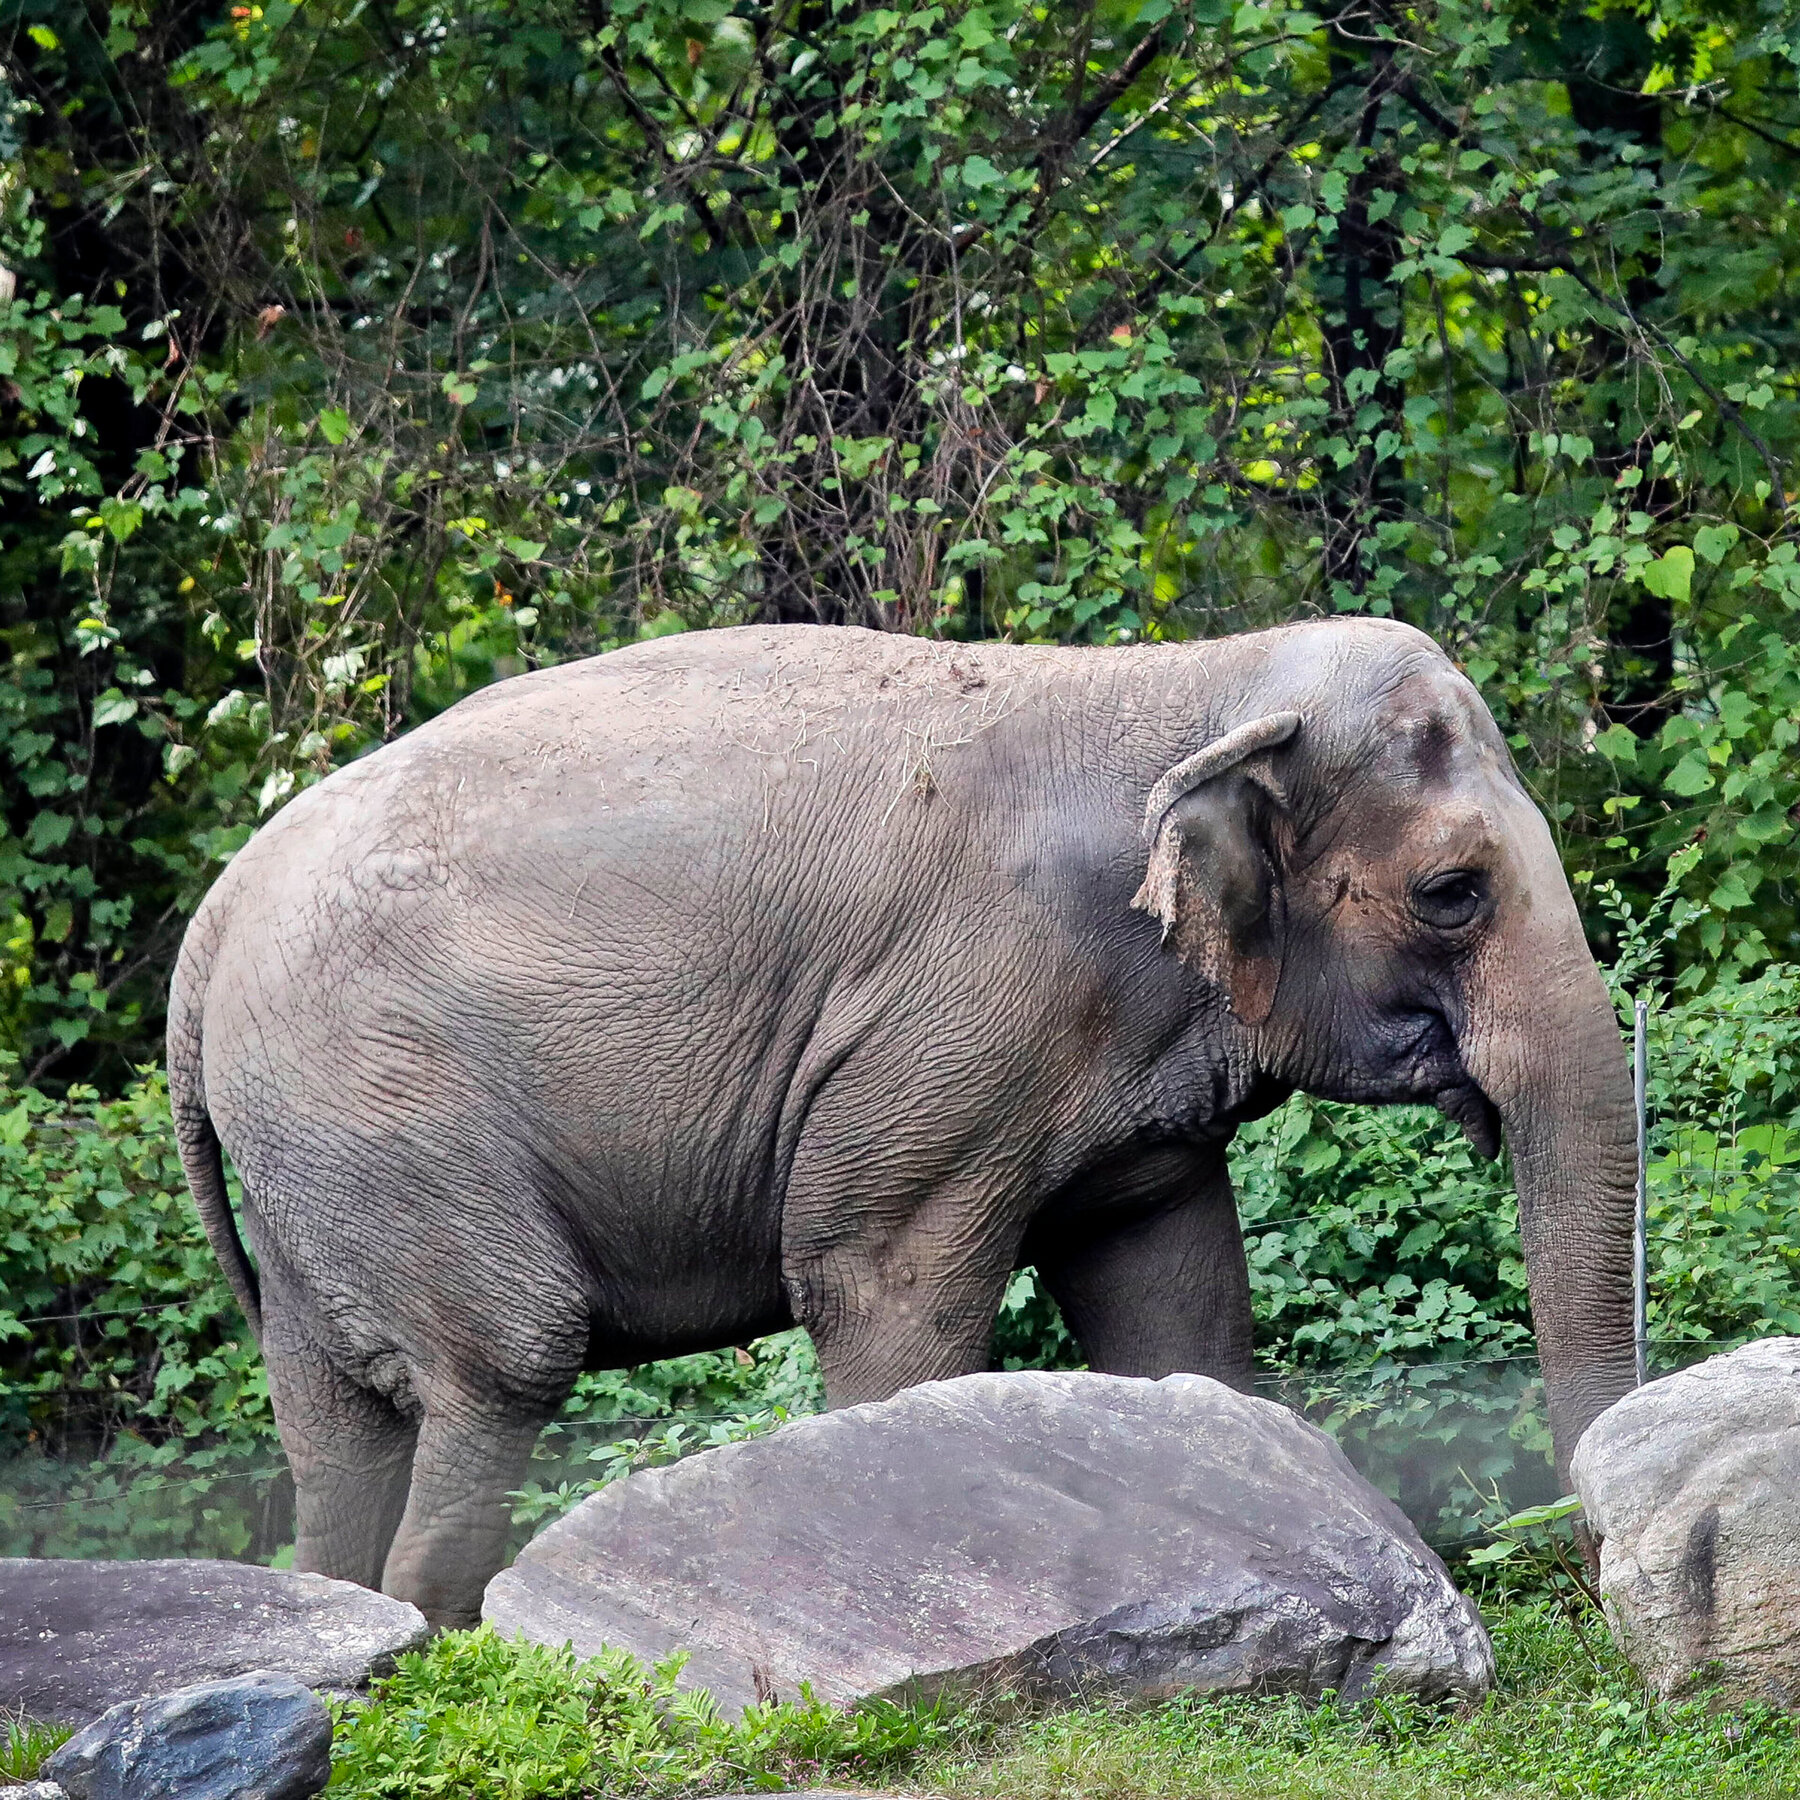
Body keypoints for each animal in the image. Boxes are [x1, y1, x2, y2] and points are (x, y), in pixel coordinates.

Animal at [168, 617, 1638, 1627]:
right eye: (1452, 892)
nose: (1587, 1569)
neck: (1192, 681)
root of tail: (211, 923)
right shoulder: (958, 1020)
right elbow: (880, 1287)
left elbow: (1176, 1303)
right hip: (385, 1108)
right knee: (504, 1362)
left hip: (312, 1158)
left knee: (333, 1423)